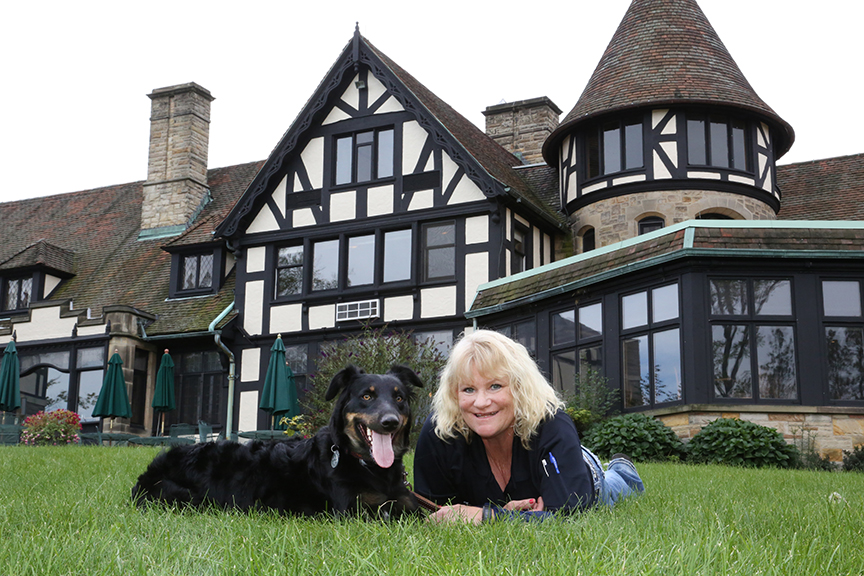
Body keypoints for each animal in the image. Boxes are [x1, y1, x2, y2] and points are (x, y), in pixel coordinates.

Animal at [131, 364, 422, 516]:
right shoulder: (354, 508)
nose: (390, 422)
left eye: (399, 398)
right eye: (367, 396)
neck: (366, 464)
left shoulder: (405, 501)